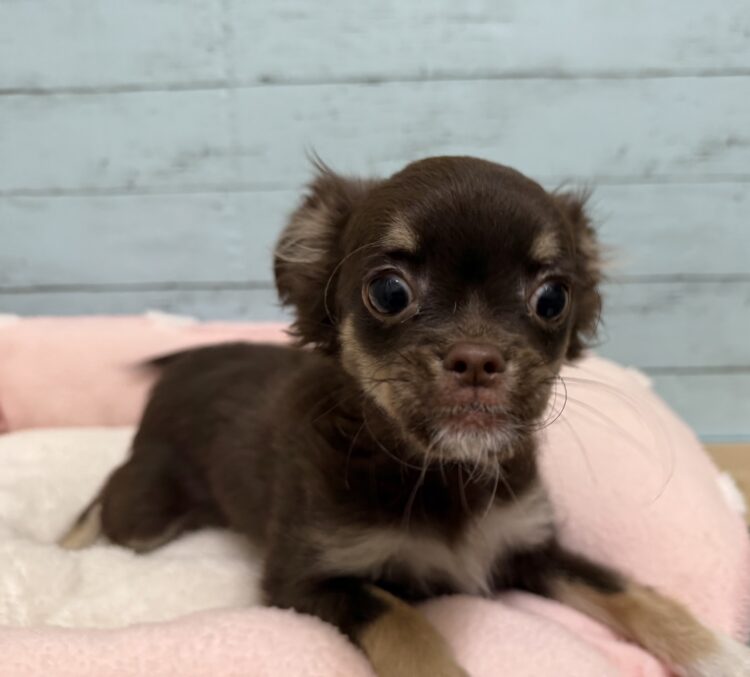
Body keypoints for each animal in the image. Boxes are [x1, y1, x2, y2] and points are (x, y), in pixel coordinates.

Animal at [61, 156, 749, 676]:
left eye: (553, 298)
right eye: (389, 291)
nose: (478, 359)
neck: (439, 470)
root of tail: (185, 363)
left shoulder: (529, 546)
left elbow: (626, 589)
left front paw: (719, 652)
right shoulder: (307, 581)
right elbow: (404, 620)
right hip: (147, 509)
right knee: (106, 499)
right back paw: (67, 542)